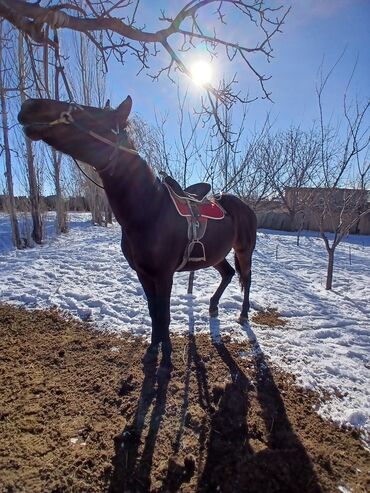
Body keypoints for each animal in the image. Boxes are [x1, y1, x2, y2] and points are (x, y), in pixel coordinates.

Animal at [18, 96, 256, 368]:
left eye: (86, 112)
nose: (29, 106)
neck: (150, 211)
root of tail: (244, 206)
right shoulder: (143, 274)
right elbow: (154, 312)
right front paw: (153, 348)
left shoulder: (164, 275)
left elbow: (164, 314)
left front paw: (166, 356)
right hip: (216, 255)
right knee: (228, 273)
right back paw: (213, 306)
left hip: (244, 250)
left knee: (246, 278)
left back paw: (243, 315)